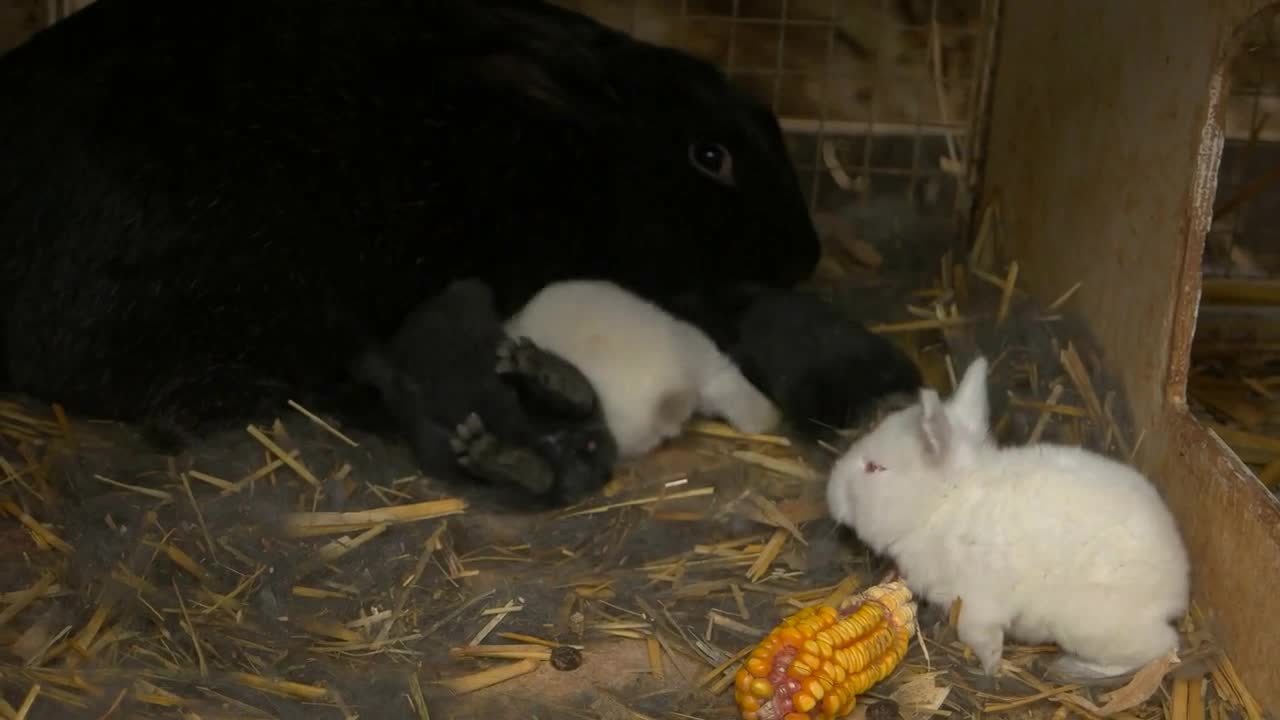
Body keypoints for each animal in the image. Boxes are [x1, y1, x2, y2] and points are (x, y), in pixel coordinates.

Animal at [829, 353, 1187, 676]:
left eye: (874, 468)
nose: (831, 493)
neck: (942, 505)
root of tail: (1177, 590)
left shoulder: (976, 602)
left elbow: (979, 634)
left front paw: (990, 667)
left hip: (1093, 626)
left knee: (1162, 648)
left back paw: (1074, 669)